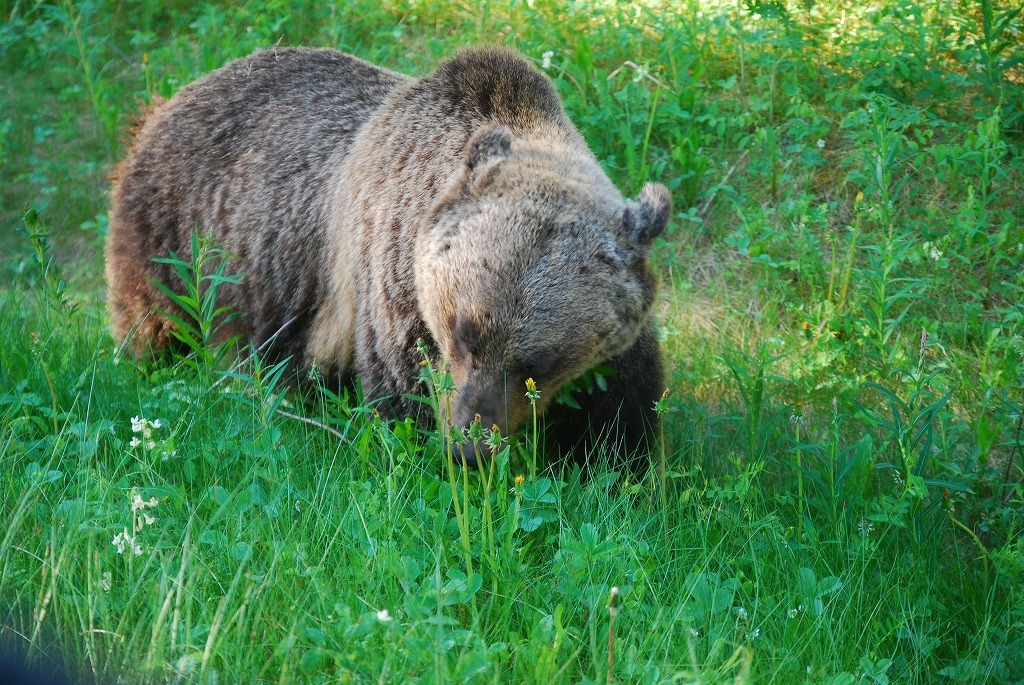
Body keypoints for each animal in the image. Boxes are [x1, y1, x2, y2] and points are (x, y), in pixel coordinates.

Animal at [108, 46, 667, 464]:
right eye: (464, 331)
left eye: (539, 362)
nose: (469, 446)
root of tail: (176, 96)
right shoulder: (389, 285)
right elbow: (402, 392)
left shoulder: (619, 327)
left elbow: (622, 412)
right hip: (177, 242)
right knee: (156, 323)